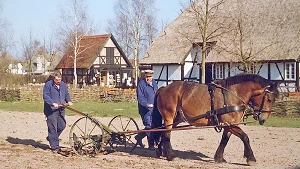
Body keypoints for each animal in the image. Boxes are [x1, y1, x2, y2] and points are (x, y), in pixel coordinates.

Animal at [151, 73, 280, 165]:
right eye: (269, 99)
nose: (263, 119)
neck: (233, 94)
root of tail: (163, 88)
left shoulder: (228, 124)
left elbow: (224, 140)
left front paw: (219, 157)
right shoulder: (230, 124)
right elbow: (245, 137)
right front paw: (251, 158)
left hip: (176, 119)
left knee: (162, 133)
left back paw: (161, 151)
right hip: (169, 117)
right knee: (166, 134)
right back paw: (170, 155)